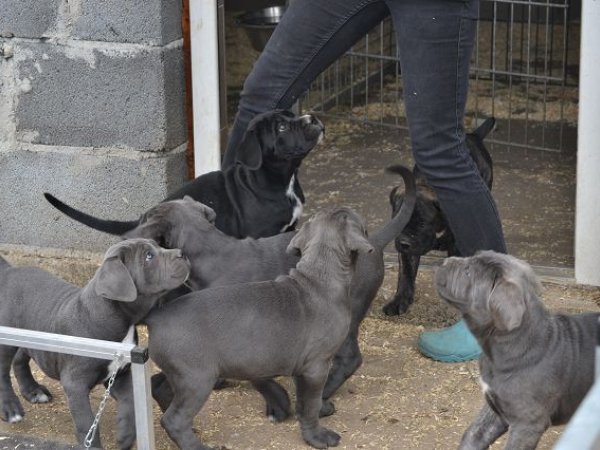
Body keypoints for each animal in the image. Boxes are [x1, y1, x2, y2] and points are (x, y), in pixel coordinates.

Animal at [0, 239, 190, 449]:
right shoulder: (75, 384)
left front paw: (125, 433)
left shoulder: (120, 374)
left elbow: (130, 402)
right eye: (148, 256)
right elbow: (87, 424)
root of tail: (8, 272)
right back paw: (11, 408)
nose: (182, 253)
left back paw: (32, 391)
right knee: (3, 372)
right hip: (7, 340)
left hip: (28, 336)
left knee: (20, 358)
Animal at [44, 110, 324, 239]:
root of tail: (141, 219)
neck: (281, 180)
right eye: (282, 127)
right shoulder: (260, 234)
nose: (313, 118)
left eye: (292, 115)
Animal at [122, 166, 416, 421]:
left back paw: (321, 398)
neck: (212, 253)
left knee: (349, 359)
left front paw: (278, 405)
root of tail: (374, 241)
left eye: (144, 219)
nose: (126, 235)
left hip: (350, 311)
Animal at [143, 207, 375, 449]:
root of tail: (157, 315)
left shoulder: (299, 365)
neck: (319, 276)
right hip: (196, 379)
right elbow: (309, 404)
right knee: (174, 419)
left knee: (161, 389)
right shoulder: (316, 366)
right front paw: (317, 436)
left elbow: (302, 399)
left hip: (181, 373)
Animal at [383, 117, 496, 315]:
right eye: (399, 223)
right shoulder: (407, 252)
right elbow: (405, 274)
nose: (403, 242)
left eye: (423, 224)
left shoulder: (456, 246)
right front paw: (399, 301)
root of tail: (472, 136)